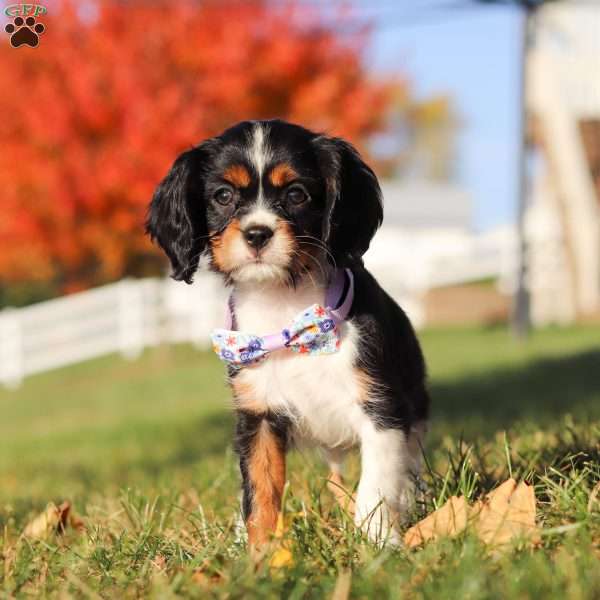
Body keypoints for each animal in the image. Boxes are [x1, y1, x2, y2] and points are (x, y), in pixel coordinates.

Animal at [149, 119, 432, 548]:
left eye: (297, 194)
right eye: (223, 195)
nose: (257, 233)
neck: (286, 308)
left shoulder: (381, 409)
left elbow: (375, 487)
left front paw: (380, 544)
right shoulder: (259, 415)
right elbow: (260, 491)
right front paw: (261, 554)